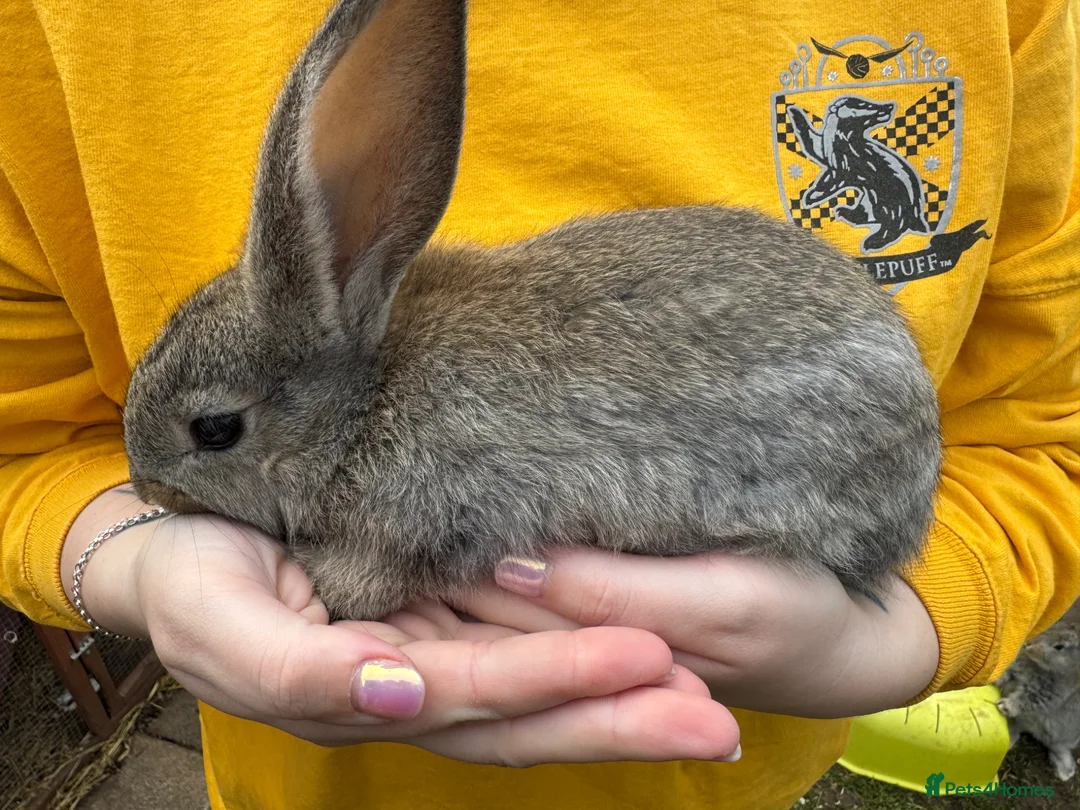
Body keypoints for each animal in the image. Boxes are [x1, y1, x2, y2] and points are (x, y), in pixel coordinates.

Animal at [996, 622, 1080, 781]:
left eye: (1059, 647)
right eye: (1051, 627)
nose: (1028, 644)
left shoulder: (1049, 694)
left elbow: (1027, 700)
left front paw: (1005, 706)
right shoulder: (1015, 673)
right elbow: (1007, 676)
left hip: (1064, 736)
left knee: (1058, 747)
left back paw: (1065, 771)